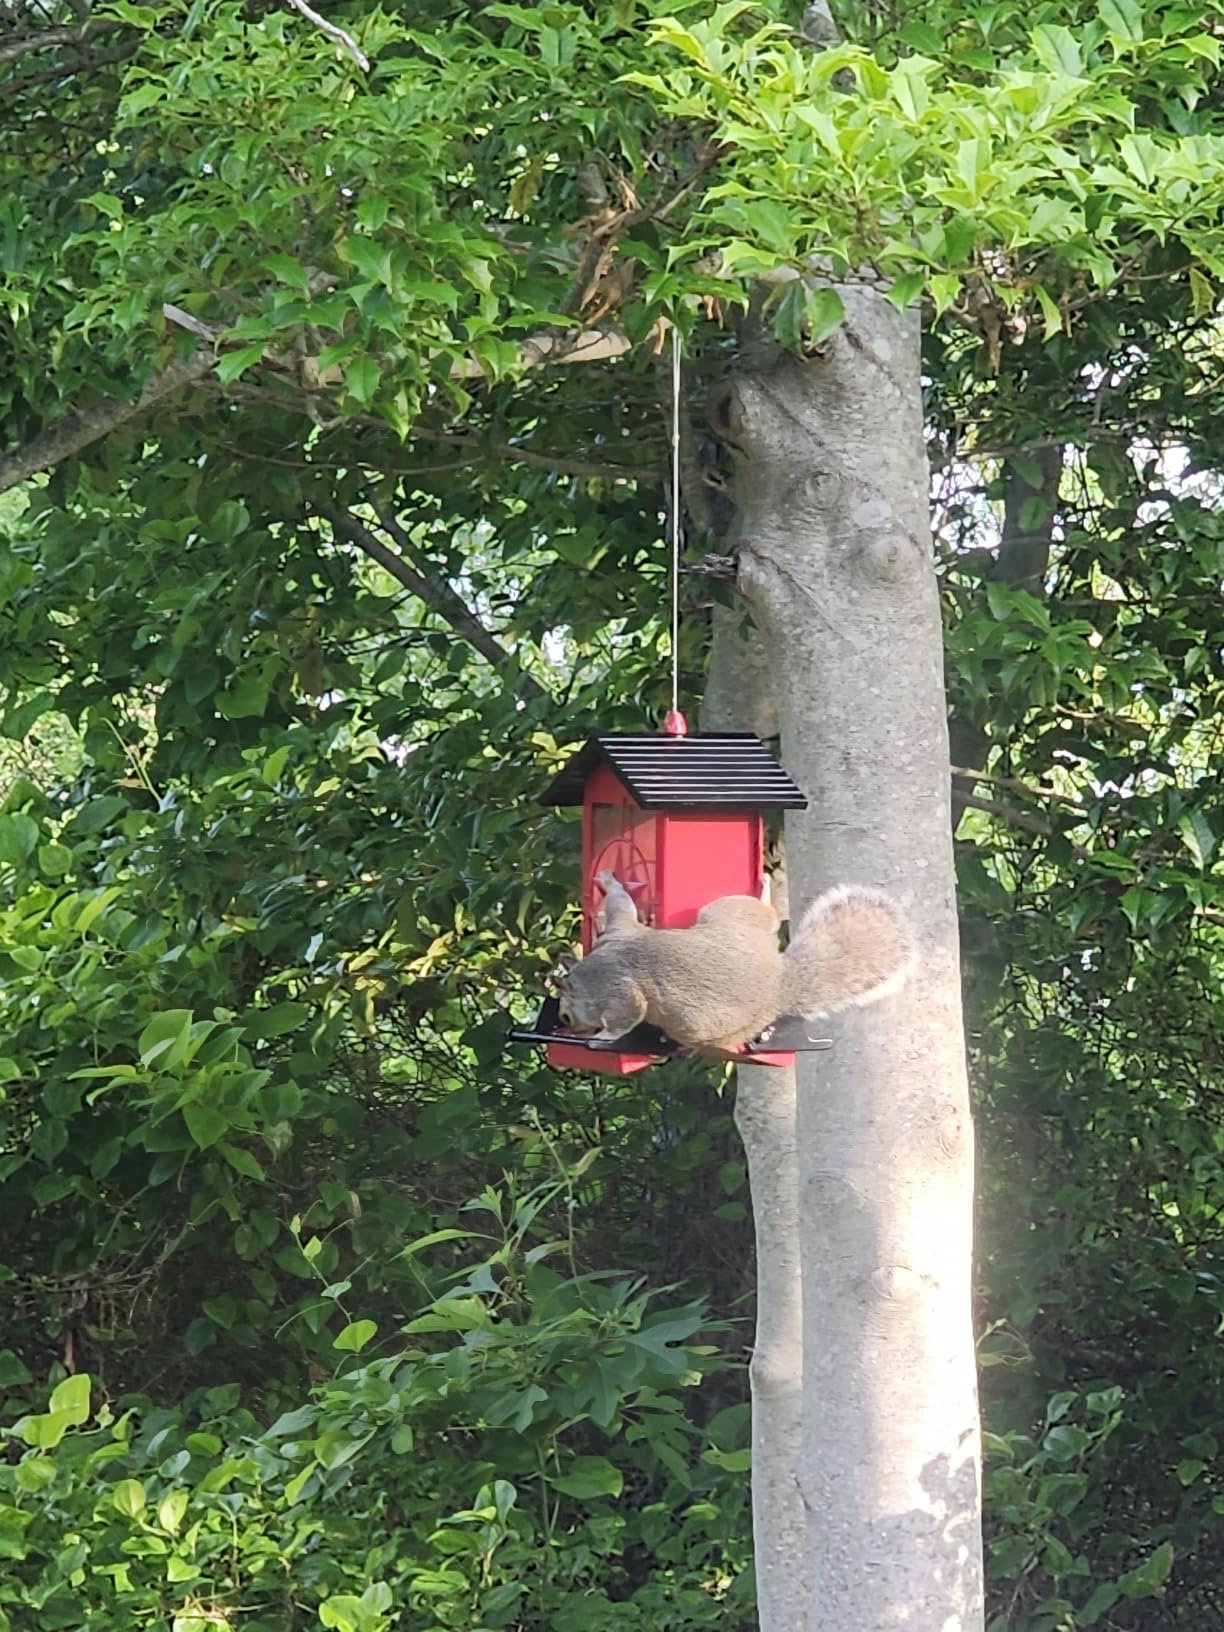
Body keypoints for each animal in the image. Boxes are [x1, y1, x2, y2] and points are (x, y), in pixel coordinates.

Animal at [556, 871, 915, 1053]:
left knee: (763, 910)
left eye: (565, 1015)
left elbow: (627, 1014)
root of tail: (779, 982)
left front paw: (603, 1037)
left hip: (726, 915)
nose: (570, 1030)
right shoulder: (619, 932)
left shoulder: (616, 988)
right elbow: (621, 905)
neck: (590, 974)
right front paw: (609, 880)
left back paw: (766, 888)